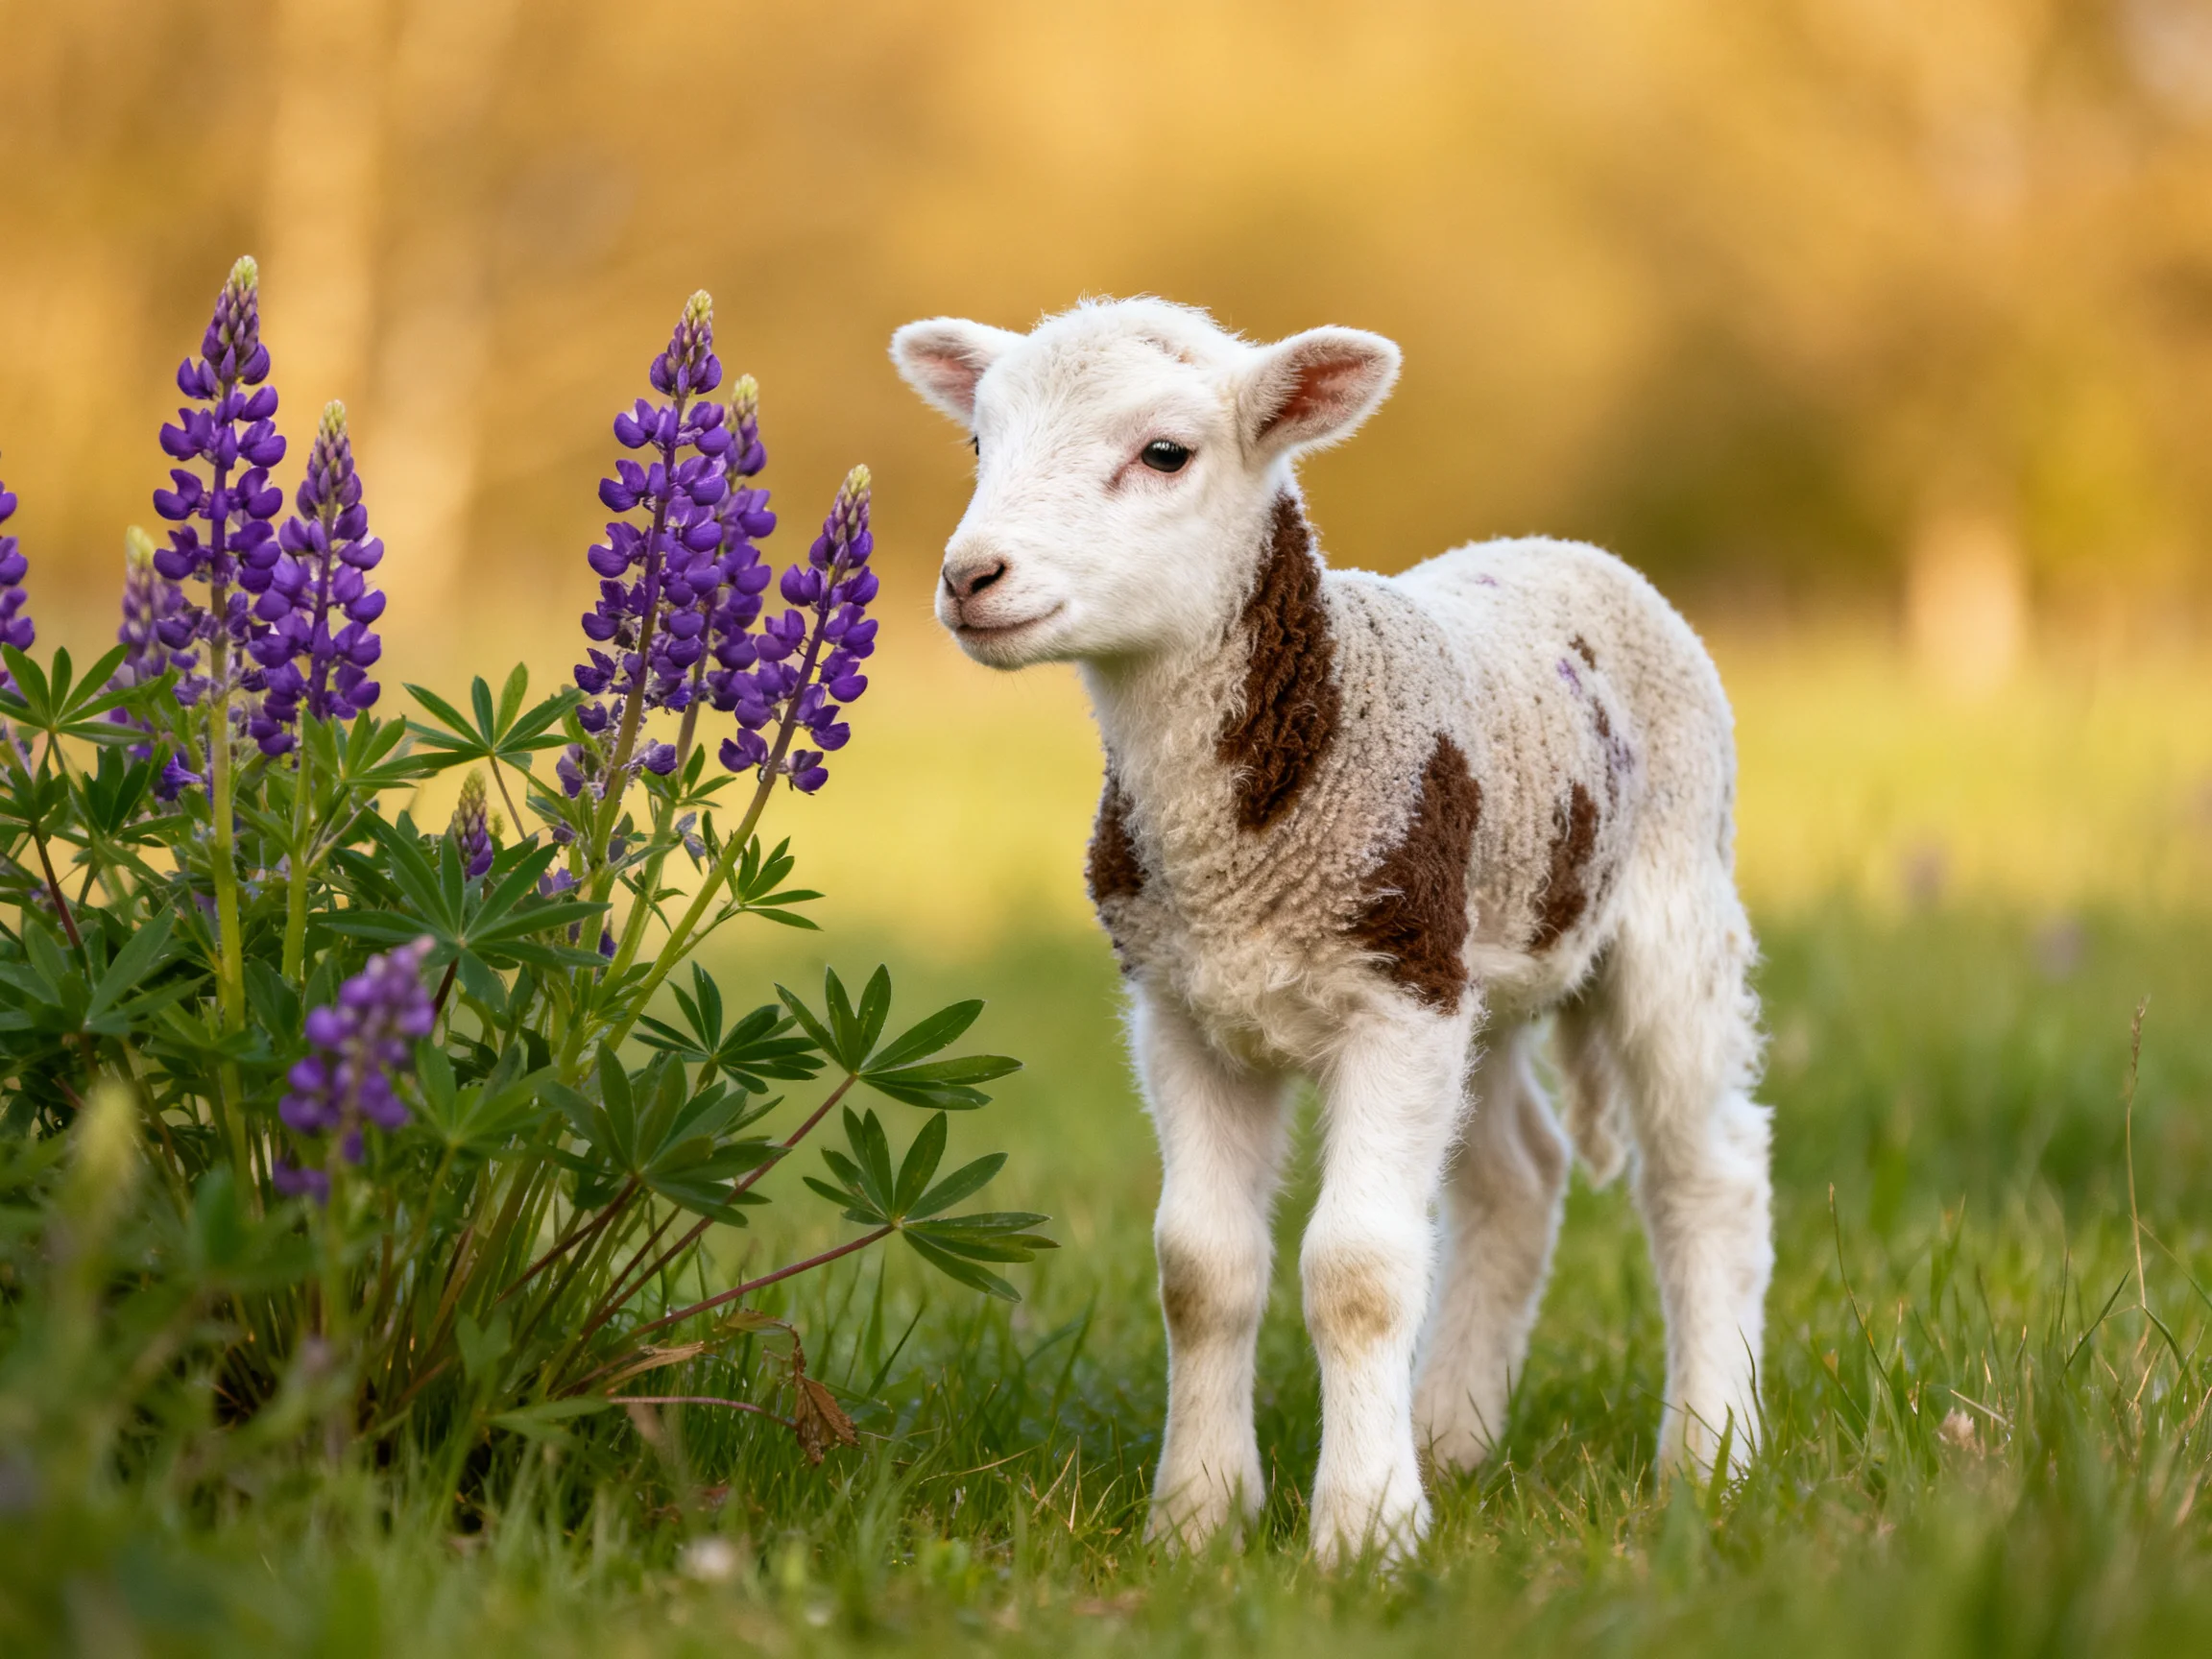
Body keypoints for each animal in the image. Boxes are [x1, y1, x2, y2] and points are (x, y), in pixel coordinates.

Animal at [890, 297, 1773, 1561]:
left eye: (1166, 453)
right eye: (978, 442)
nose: (971, 577)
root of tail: (1561, 546)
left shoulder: (1394, 995)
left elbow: (1357, 1269)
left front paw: (1365, 1532)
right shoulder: (1184, 1006)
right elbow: (1201, 1268)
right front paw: (1197, 1520)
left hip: (1670, 899)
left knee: (1708, 1176)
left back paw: (1708, 1458)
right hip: (1482, 957)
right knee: (1518, 1174)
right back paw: (1452, 1435)